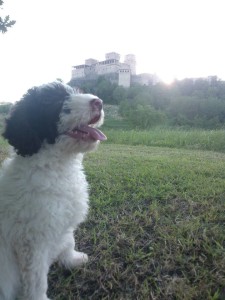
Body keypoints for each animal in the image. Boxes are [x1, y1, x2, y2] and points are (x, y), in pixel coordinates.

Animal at [0, 81, 106, 298]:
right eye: (55, 102)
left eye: (76, 92)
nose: (99, 102)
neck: (57, 166)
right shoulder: (32, 242)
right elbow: (37, 280)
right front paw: (39, 297)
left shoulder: (63, 221)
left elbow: (69, 241)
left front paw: (73, 259)